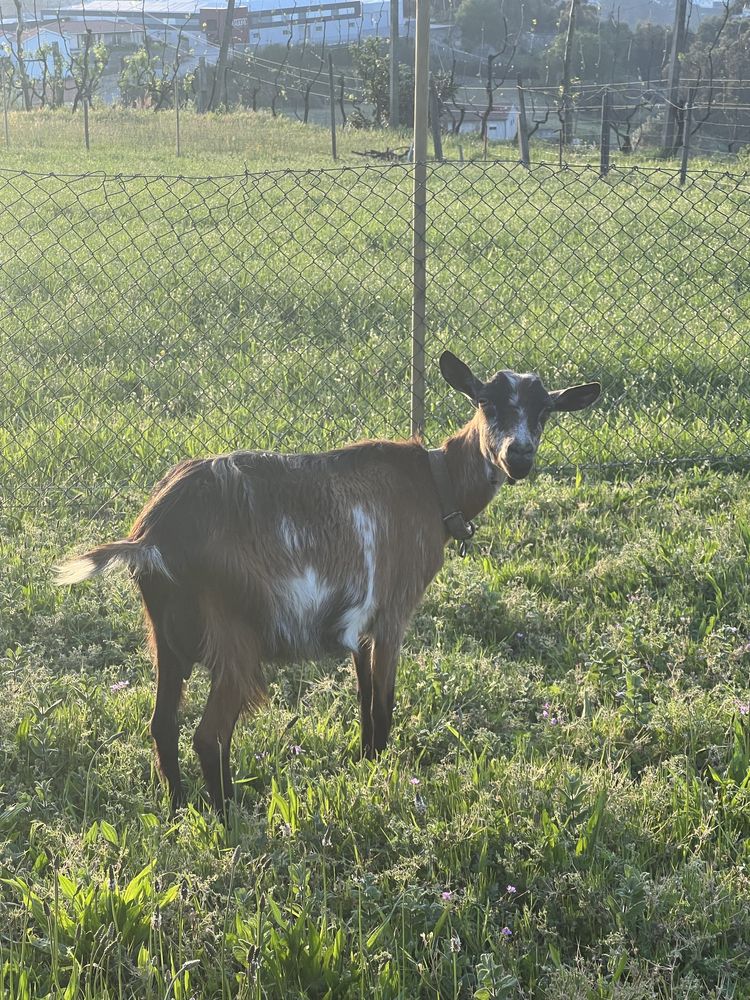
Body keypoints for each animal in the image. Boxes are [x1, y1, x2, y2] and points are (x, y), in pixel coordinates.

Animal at [55, 352, 604, 812]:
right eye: (486, 402)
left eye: (545, 411)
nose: (519, 456)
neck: (434, 484)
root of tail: (151, 534)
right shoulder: (392, 613)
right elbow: (383, 705)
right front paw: (381, 775)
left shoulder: (358, 625)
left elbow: (363, 701)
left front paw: (364, 764)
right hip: (235, 632)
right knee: (209, 735)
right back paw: (231, 816)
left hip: (166, 638)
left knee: (163, 725)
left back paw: (178, 809)